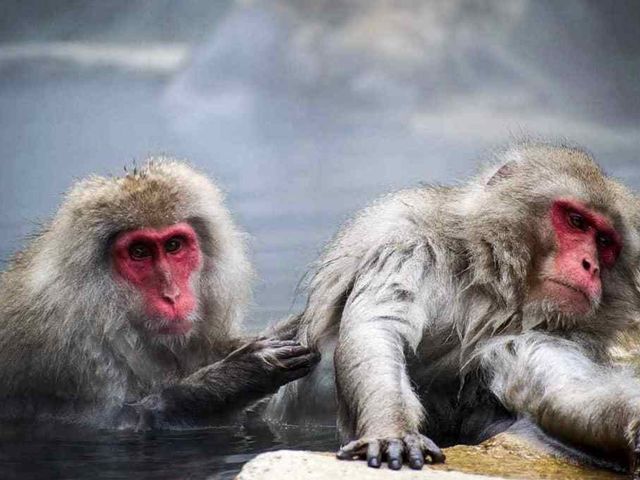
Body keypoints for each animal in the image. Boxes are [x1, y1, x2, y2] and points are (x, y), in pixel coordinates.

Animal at [0, 159, 319, 429]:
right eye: (139, 251)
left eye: (174, 245)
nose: (172, 295)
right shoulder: (69, 353)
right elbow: (126, 422)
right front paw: (234, 377)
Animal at [265, 142, 640, 476]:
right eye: (577, 221)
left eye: (605, 242)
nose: (590, 265)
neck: (488, 280)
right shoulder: (408, 241)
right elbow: (378, 324)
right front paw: (392, 430)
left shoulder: (545, 329)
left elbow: (562, 386)